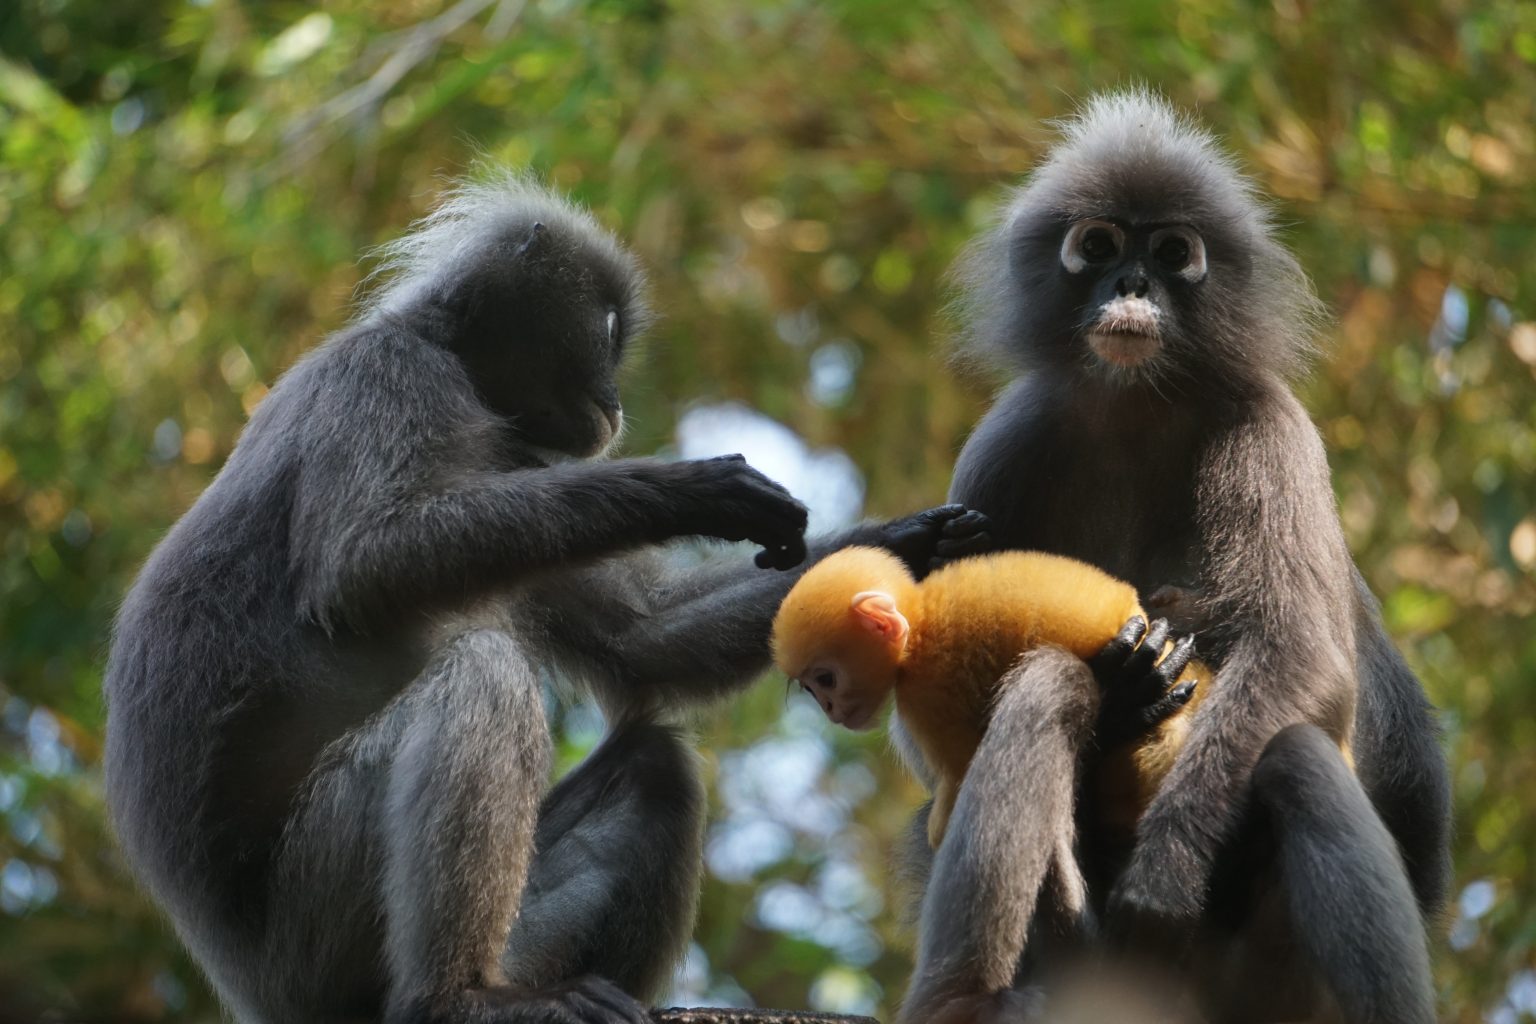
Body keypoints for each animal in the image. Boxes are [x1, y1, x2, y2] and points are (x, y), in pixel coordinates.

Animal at [102, 171, 989, 1024]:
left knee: (655, 766)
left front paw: (916, 544)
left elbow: (646, 641)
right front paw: (690, 490)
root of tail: (248, 985)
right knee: (483, 675)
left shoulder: (513, 456)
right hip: (311, 925)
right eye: (605, 332)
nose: (617, 401)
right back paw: (457, 997)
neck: (457, 368)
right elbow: (360, 565)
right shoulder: (386, 375)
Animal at [897, 90, 1443, 1024]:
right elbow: (921, 736)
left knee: (1298, 756)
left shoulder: (1269, 427)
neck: (1137, 409)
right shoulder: (1009, 442)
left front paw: (1166, 874)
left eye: (1172, 253)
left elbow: (1303, 654)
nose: (1132, 286)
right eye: (1099, 246)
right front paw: (1126, 692)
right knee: (1041, 689)